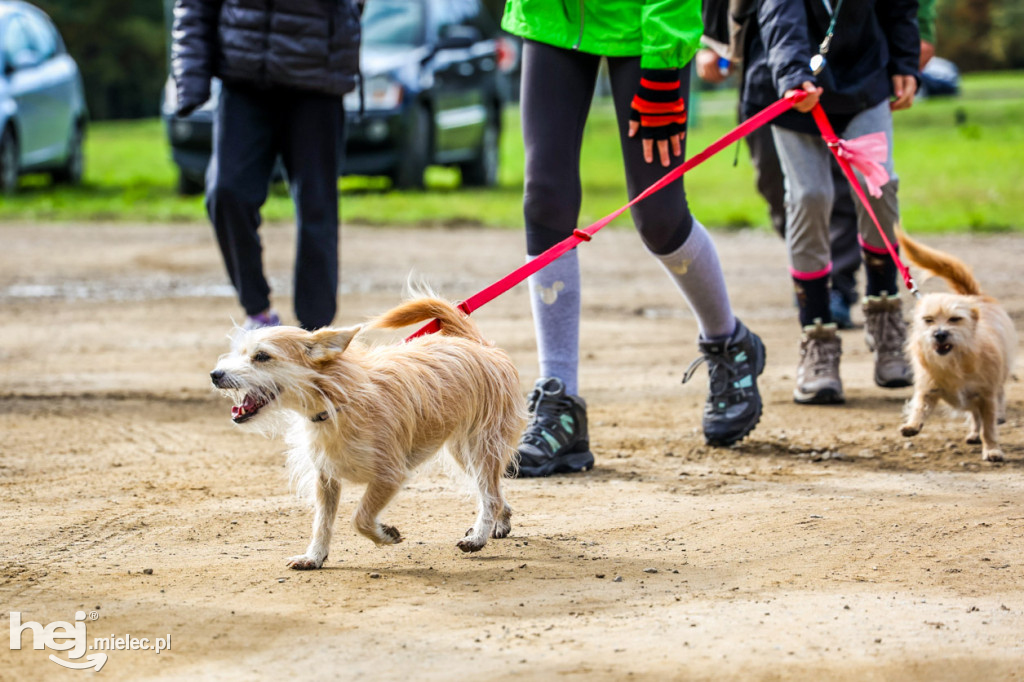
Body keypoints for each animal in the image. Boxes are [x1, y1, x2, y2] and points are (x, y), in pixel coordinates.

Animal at [210, 294, 524, 565]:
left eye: (262, 356)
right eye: (241, 353)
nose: (215, 375)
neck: (338, 402)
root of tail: (475, 343)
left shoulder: (389, 475)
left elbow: (359, 518)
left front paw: (385, 536)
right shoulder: (326, 478)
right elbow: (322, 522)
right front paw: (314, 557)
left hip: (481, 446)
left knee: (489, 494)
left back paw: (479, 537)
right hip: (463, 452)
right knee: (494, 493)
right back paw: (499, 521)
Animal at [897, 231, 1015, 458]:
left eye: (955, 319)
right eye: (928, 320)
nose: (940, 334)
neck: (956, 362)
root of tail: (974, 296)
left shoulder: (986, 396)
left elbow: (989, 427)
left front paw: (992, 450)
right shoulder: (928, 387)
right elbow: (920, 405)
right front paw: (912, 425)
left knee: (997, 399)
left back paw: (996, 419)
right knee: (975, 416)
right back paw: (973, 434)